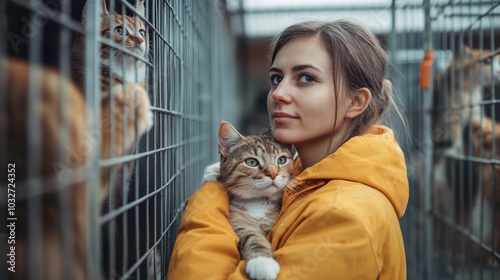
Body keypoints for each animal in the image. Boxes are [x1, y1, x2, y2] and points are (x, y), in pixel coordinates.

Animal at [205, 122, 294, 280]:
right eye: (251, 162)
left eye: (281, 160)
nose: (273, 173)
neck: (258, 202)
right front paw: (262, 262)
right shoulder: (239, 225)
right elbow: (252, 237)